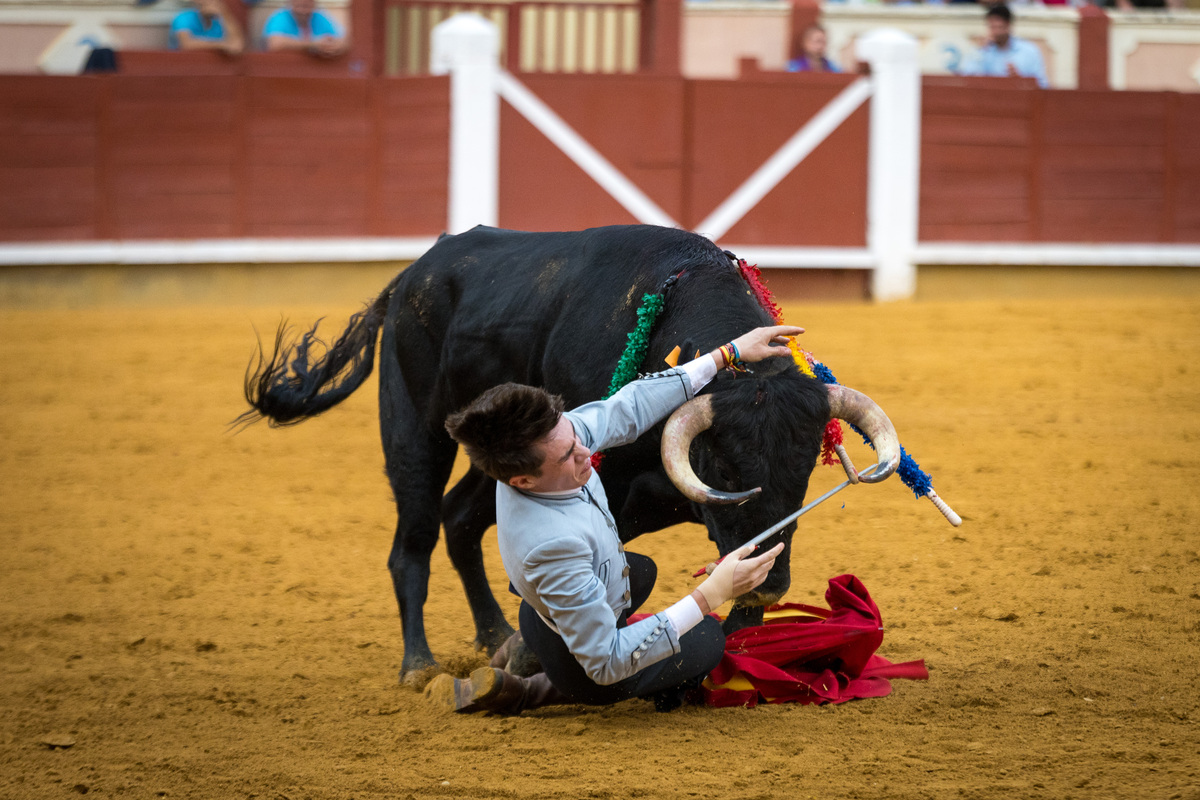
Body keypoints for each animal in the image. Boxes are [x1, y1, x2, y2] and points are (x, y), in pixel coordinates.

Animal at [241, 224, 873, 681]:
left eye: (806, 465)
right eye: (719, 462)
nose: (772, 584)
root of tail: (411, 275)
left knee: (459, 517)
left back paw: (494, 636)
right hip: (414, 431)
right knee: (413, 540)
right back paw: (420, 665)